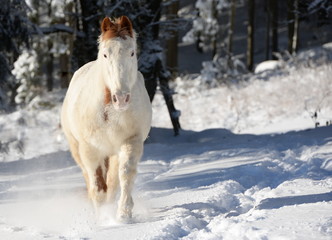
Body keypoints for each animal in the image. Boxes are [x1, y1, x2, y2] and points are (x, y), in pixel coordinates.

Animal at [61, 15, 152, 221]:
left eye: (132, 52)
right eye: (105, 54)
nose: (121, 98)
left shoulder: (131, 141)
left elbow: (124, 176)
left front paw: (124, 213)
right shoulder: (90, 149)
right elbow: (97, 185)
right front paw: (102, 218)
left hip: (114, 151)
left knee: (112, 182)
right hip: (78, 149)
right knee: (91, 180)